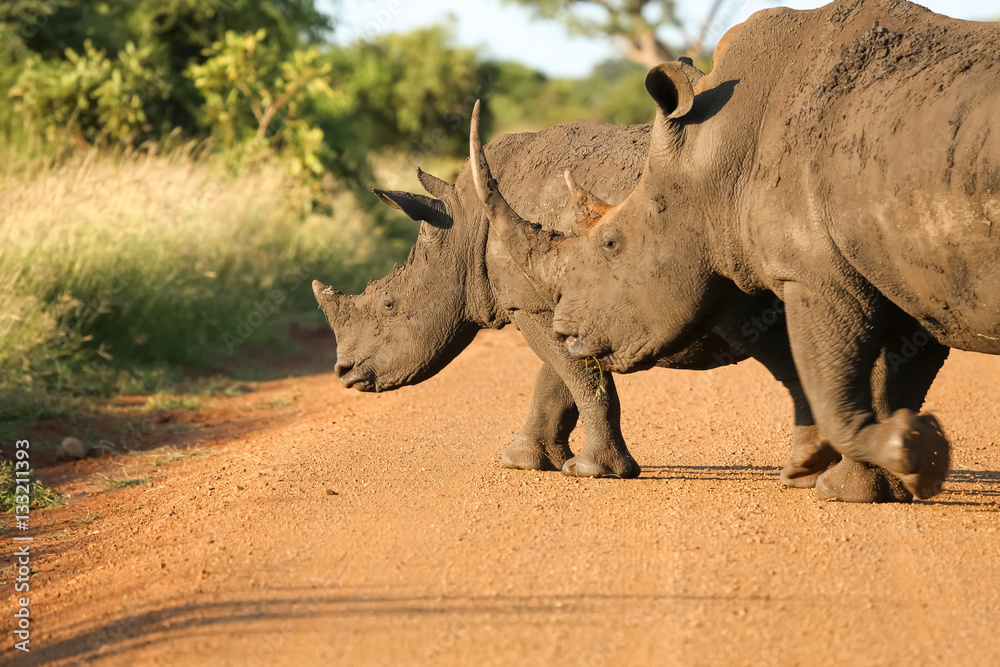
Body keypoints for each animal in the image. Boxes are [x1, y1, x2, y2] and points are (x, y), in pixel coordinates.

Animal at [473, 0, 1000, 500]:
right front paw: (884, 475)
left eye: (611, 244)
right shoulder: (913, 275)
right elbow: (895, 383)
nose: (564, 331)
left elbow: (834, 386)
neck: (718, 154)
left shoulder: (815, 275)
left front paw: (899, 455)